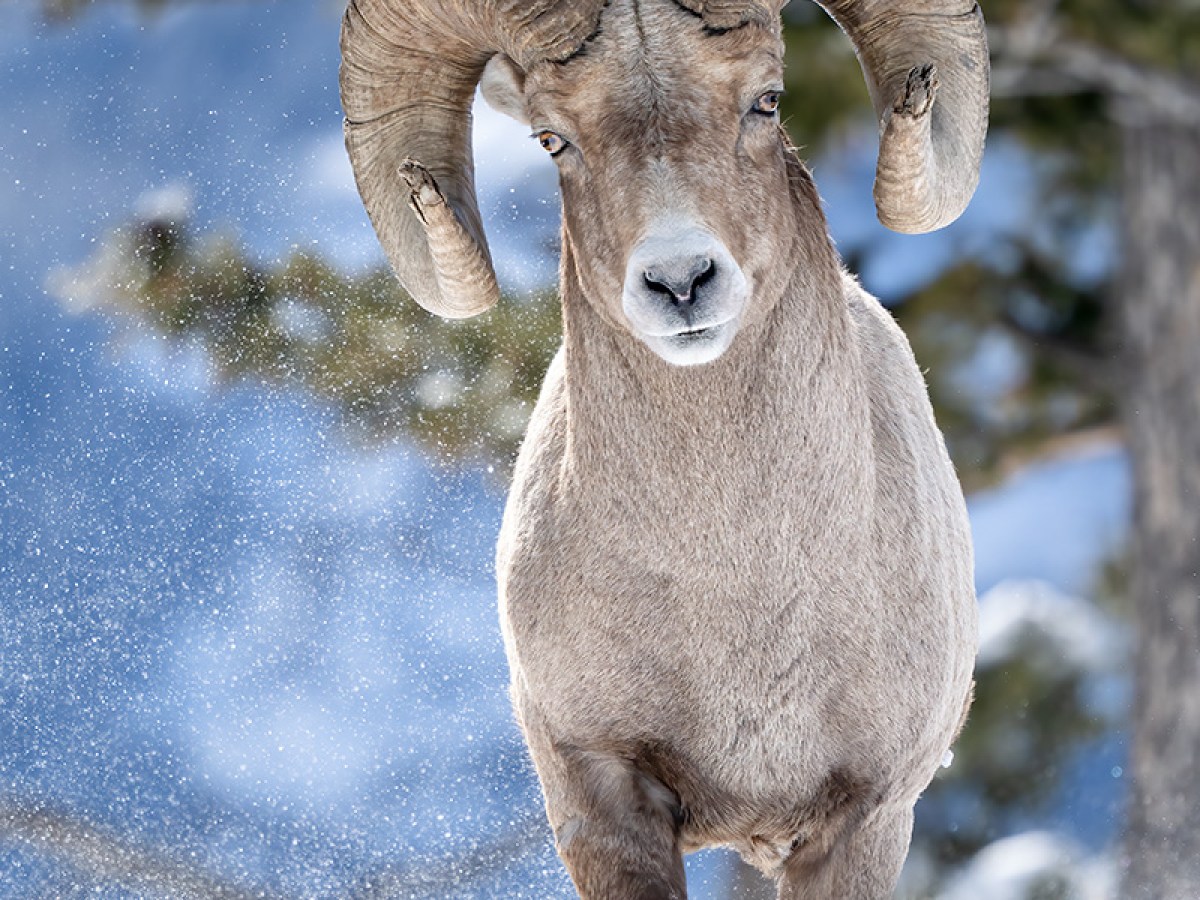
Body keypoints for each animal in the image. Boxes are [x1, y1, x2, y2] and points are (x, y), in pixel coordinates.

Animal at [339, 0, 987, 896]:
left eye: (767, 101)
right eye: (553, 139)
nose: (680, 282)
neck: (734, 591)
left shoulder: (866, 819)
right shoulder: (602, 800)